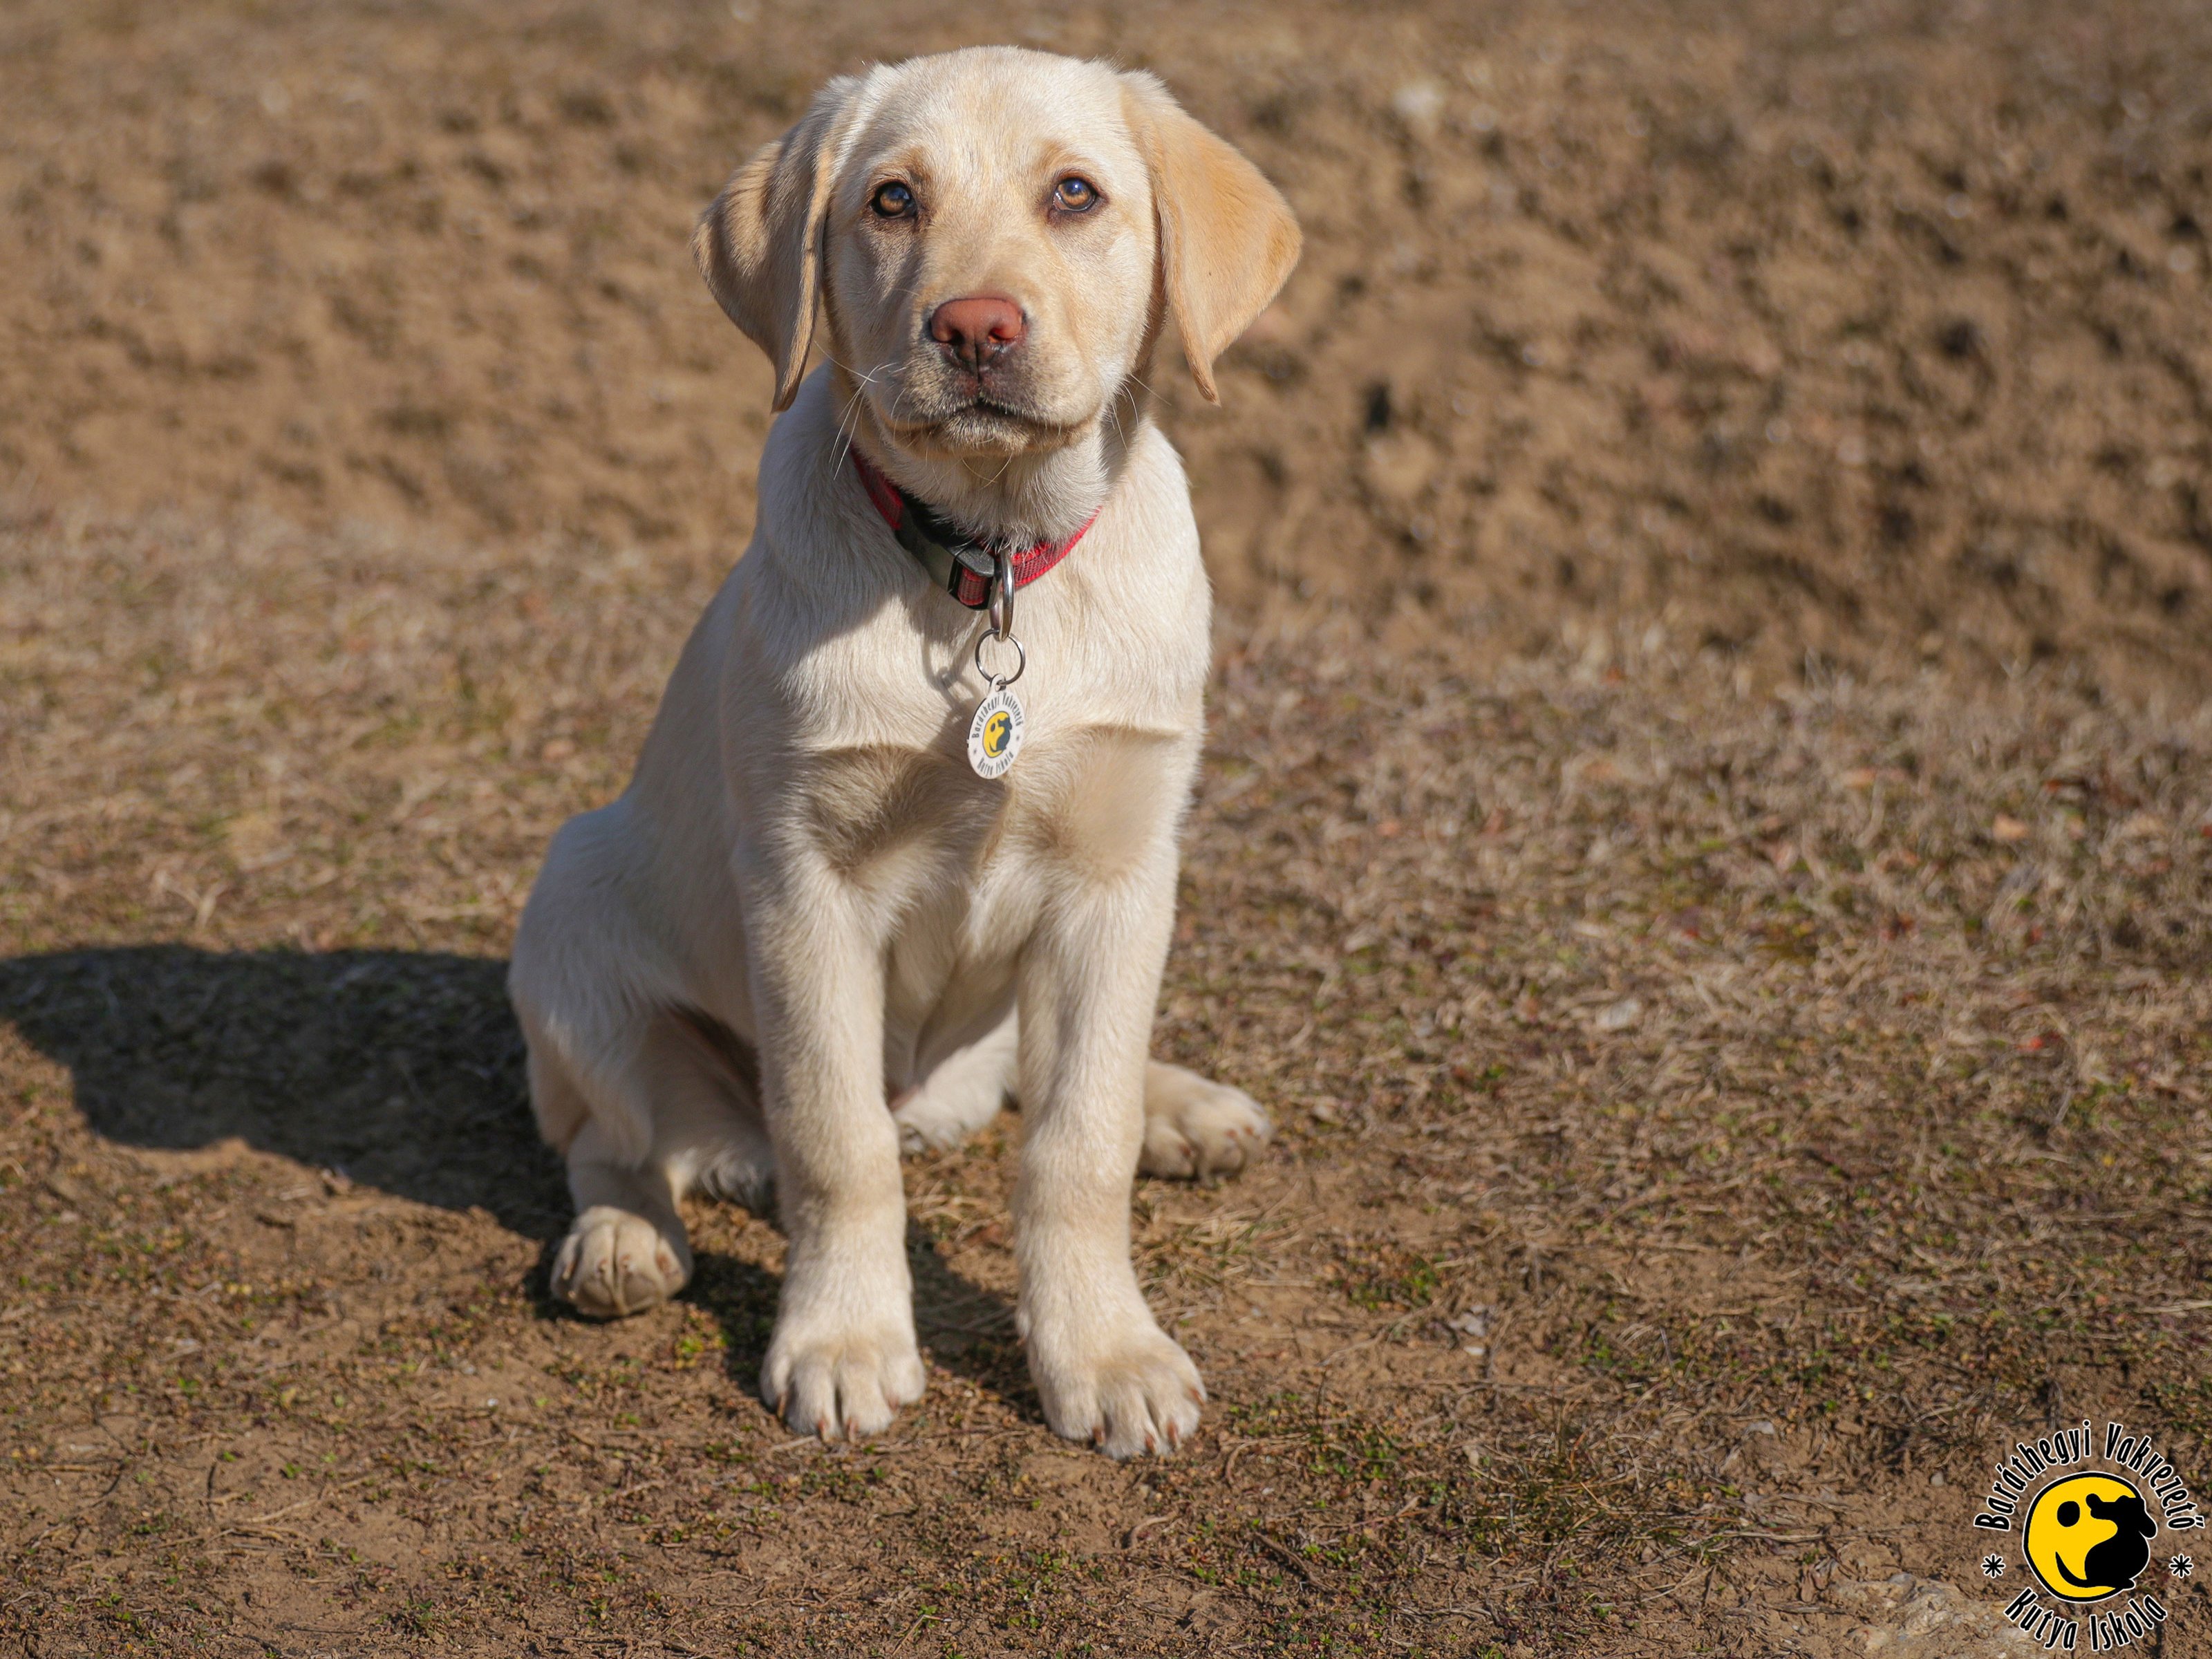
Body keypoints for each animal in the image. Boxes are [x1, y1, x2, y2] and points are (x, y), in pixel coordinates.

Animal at [506, 45, 1291, 1460]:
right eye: (891, 201)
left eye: (1076, 195)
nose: (974, 328)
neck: (991, 563)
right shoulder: (803, 882)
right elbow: (834, 1139)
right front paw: (845, 1340)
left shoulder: (1122, 871)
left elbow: (1079, 1139)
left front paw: (1104, 1351)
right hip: (571, 906)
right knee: (616, 1131)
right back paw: (622, 1240)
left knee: (1039, 1077)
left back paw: (1185, 1106)